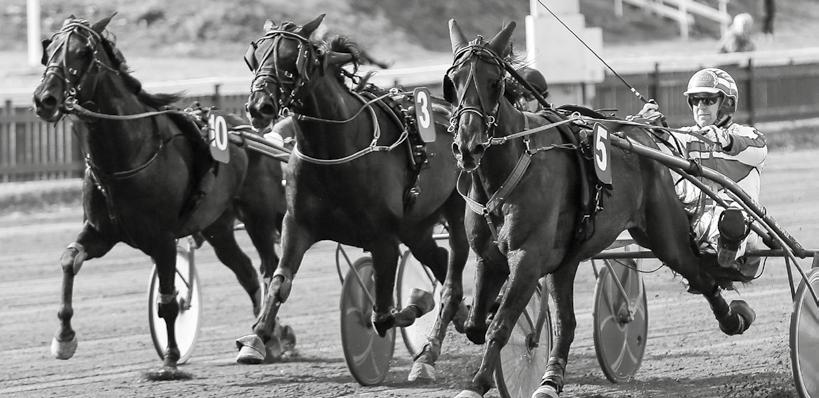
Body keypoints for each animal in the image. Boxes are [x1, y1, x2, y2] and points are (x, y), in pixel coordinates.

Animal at [32, 14, 286, 376]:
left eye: (82, 52)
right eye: (49, 48)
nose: (45, 99)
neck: (127, 155)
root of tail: (254, 133)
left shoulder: (163, 239)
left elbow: (167, 302)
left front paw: (170, 360)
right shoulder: (101, 232)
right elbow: (69, 259)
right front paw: (64, 338)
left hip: (258, 219)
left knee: (269, 268)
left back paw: (271, 338)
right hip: (218, 228)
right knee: (248, 272)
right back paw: (262, 339)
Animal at [239, 14, 468, 376]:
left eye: (291, 57)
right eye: (255, 56)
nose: (259, 106)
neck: (335, 149)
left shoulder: (384, 238)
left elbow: (382, 316)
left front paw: (417, 301)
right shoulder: (297, 224)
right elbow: (279, 282)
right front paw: (256, 339)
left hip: (456, 213)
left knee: (452, 282)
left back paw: (429, 353)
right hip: (416, 228)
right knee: (440, 260)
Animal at [446, 20, 760, 396]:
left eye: (495, 81)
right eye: (452, 82)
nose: (468, 145)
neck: (511, 165)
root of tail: (641, 136)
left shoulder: (527, 257)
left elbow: (499, 325)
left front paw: (477, 383)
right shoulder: (489, 258)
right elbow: (476, 325)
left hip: (663, 234)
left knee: (699, 273)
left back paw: (735, 317)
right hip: (567, 259)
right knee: (566, 322)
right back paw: (550, 379)